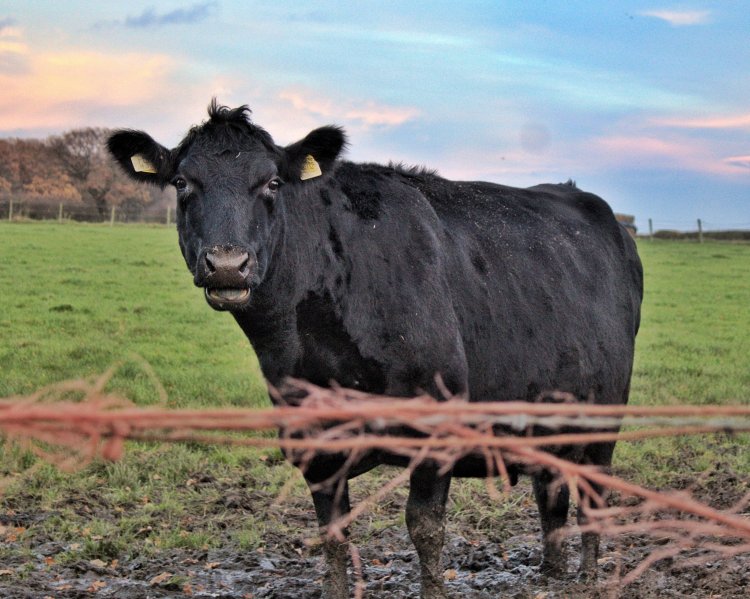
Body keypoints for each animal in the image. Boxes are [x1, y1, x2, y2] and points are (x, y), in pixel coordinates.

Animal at [107, 101, 643, 599]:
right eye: (182, 182)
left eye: (272, 183)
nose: (227, 264)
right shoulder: (312, 441)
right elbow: (333, 534)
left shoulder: (436, 426)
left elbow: (425, 529)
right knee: (550, 488)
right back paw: (551, 573)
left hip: (605, 412)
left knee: (594, 492)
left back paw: (588, 577)